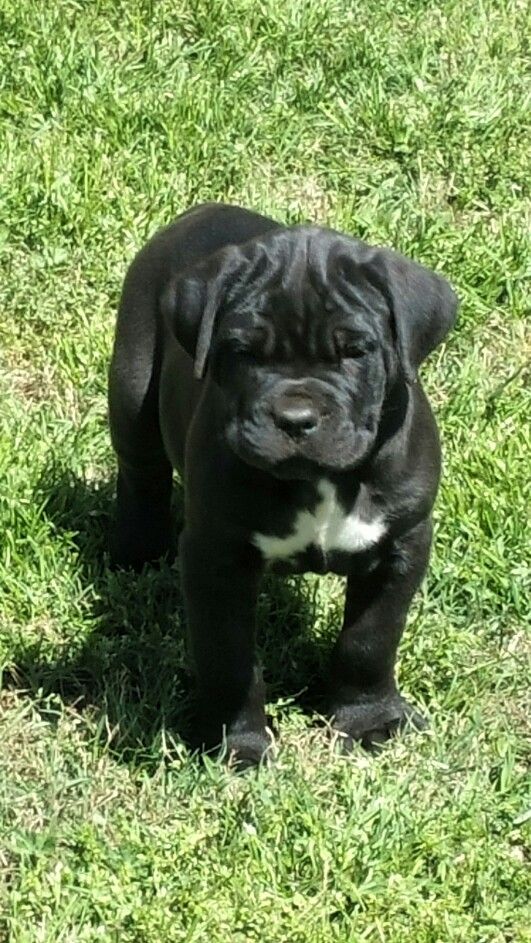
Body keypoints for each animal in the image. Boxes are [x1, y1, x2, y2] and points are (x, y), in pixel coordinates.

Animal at [108, 205, 458, 768]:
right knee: (142, 472)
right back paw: (135, 552)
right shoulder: (216, 557)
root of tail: (202, 210)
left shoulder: (402, 543)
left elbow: (369, 641)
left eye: (355, 351)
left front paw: (371, 720)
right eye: (243, 352)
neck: (317, 481)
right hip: (132, 382)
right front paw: (238, 744)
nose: (295, 418)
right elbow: (228, 658)